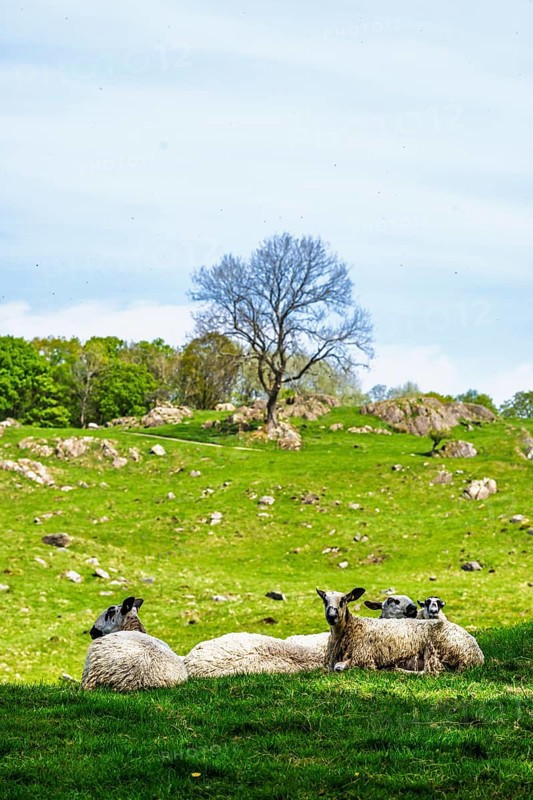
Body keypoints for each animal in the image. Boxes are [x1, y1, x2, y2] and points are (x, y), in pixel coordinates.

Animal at [316, 587, 484, 675]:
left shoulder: (363, 657)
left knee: (431, 671)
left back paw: (396, 669)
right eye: (324, 600)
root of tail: (477, 654)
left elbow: (339, 667)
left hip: (435, 648)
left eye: (344, 600)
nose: (332, 616)